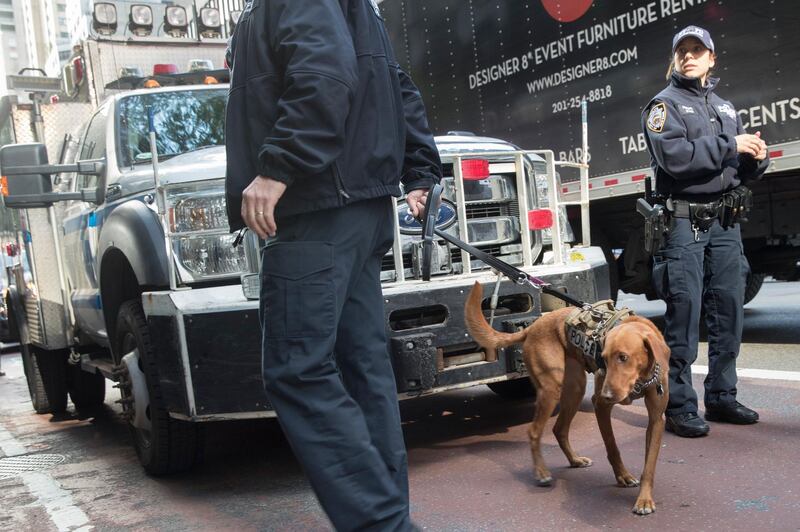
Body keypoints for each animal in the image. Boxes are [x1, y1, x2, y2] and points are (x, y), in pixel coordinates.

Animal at [466, 282, 672, 516]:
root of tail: (532, 327)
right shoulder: (601, 407)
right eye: (604, 358)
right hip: (551, 389)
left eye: (623, 357)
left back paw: (574, 460)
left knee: (559, 429)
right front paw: (623, 476)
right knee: (534, 431)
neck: (641, 379)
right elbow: (612, 446)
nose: (607, 395)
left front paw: (644, 499)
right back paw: (541, 472)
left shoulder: (656, 419)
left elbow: (649, 465)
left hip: (575, 389)